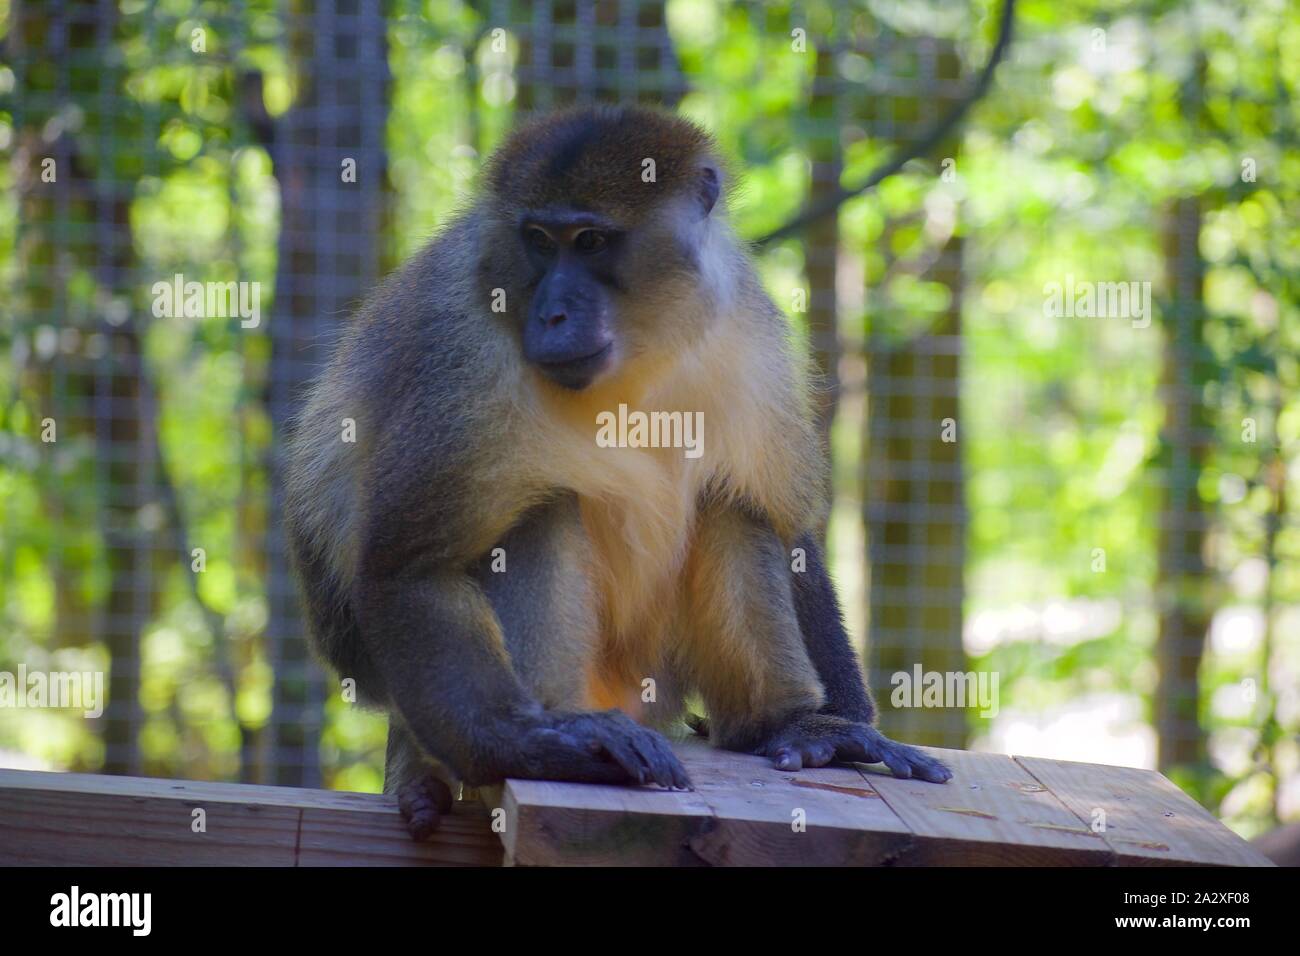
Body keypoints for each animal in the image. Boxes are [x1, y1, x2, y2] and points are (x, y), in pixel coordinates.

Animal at [284, 102, 951, 837]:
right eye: (540, 241)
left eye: (591, 242)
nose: (552, 313)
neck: (640, 350)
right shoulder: (463, 357)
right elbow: (409, 569)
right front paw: (526, 744)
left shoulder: (748, 330)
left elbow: (783, 520)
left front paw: (836, 722)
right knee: (538, 508)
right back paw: (556, 725)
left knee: (728, 503)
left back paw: (779, 724)